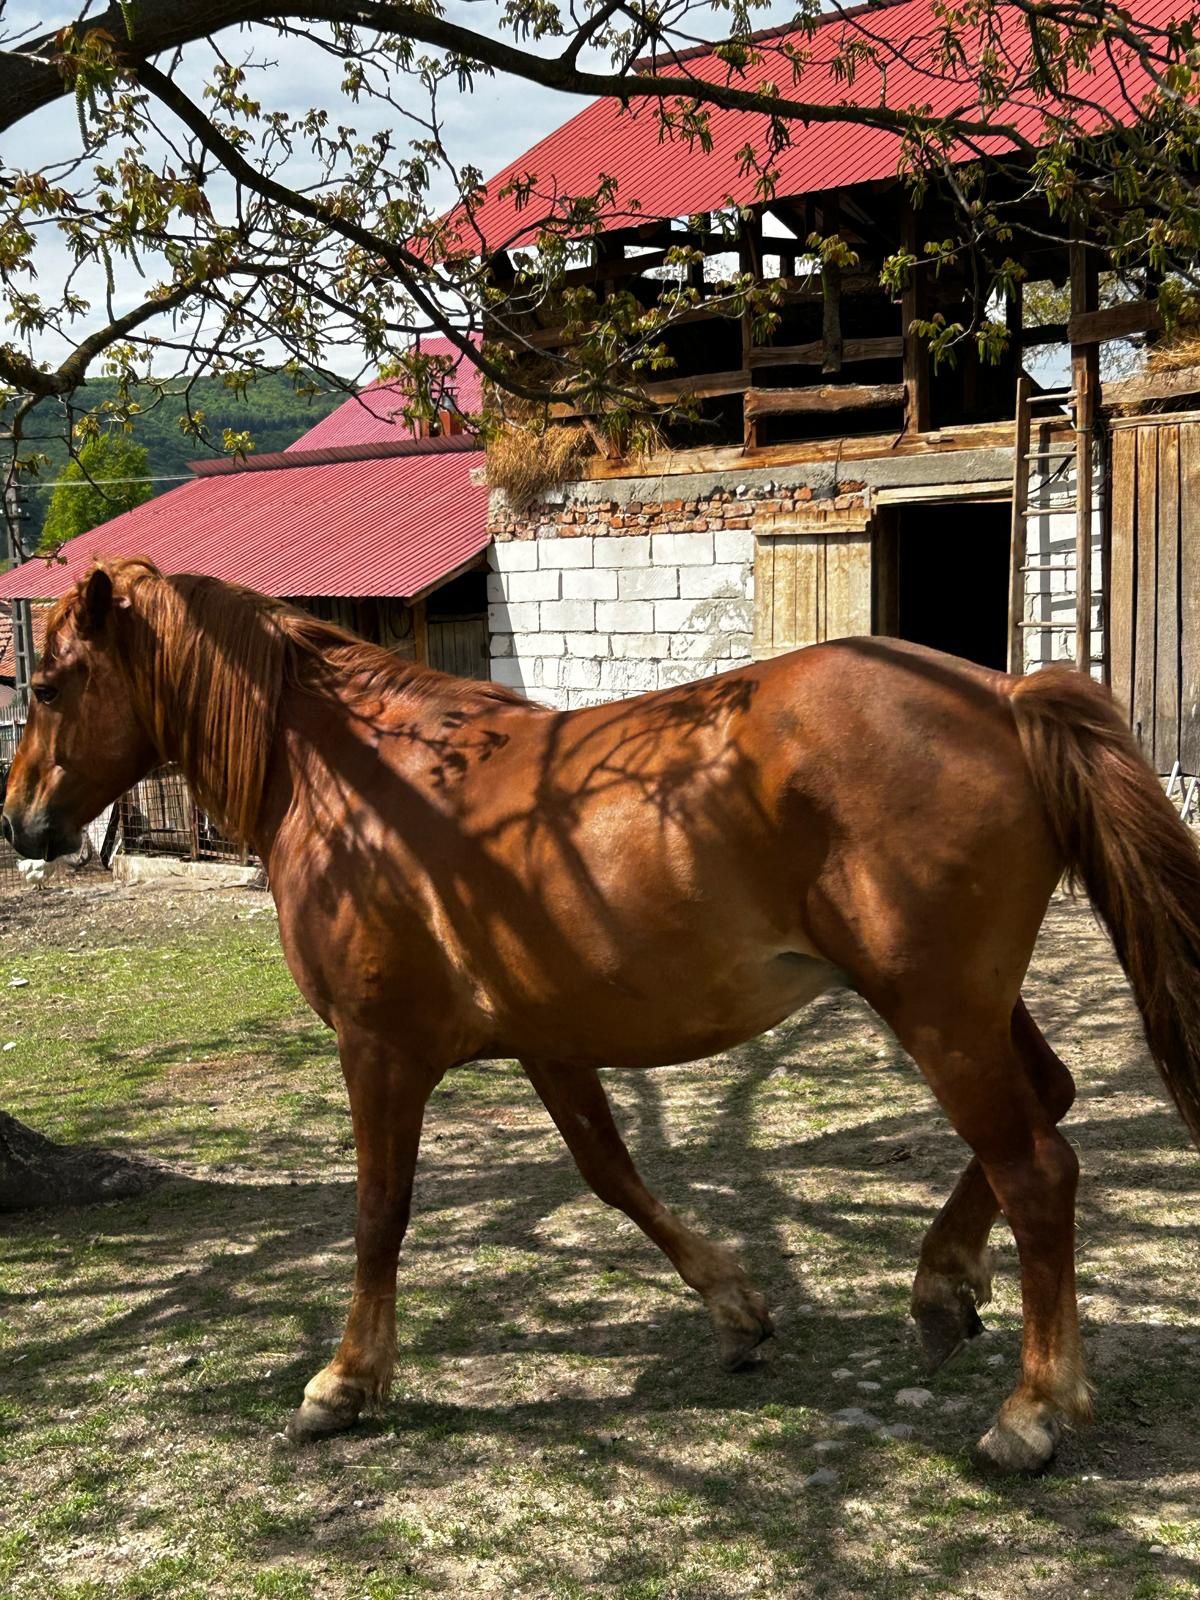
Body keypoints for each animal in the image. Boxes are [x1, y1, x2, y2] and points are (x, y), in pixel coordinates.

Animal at [2, 556, 1200, 1465]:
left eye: (49, 685)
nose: (19, 821)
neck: (357, 782)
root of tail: (1003, 698)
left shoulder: (378, 1051)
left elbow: (380, 1211)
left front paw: (345, 1380)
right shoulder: (549, 1041)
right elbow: (613, 1175)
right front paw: (735, 1308)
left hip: (936, 1010)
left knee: (1037, 1169)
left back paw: (1034, 1410)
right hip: (963, 1005)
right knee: (1051, 1101)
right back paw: (941, 1289)